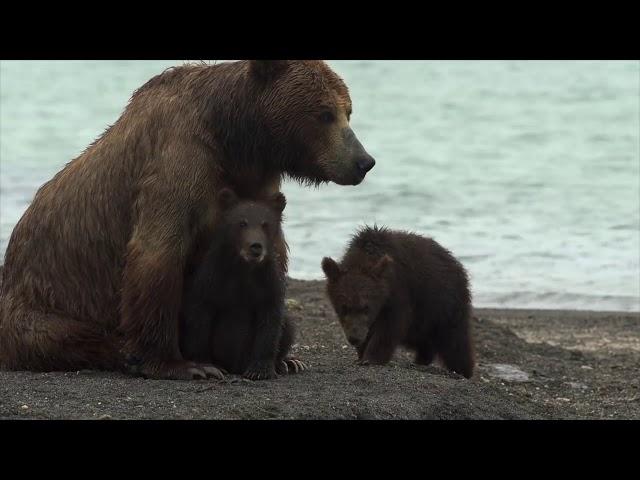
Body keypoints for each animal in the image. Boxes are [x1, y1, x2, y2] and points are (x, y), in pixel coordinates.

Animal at [0, 60, 376, 380]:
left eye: (348, 111)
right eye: (324, 113)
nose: (363, 161)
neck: (236, 139)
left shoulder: (255, 180)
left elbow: (271, 252)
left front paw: (284, 357)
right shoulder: (179, 163)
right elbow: (158, 254)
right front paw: (182, 364)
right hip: (44, 304)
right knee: (68, 336)